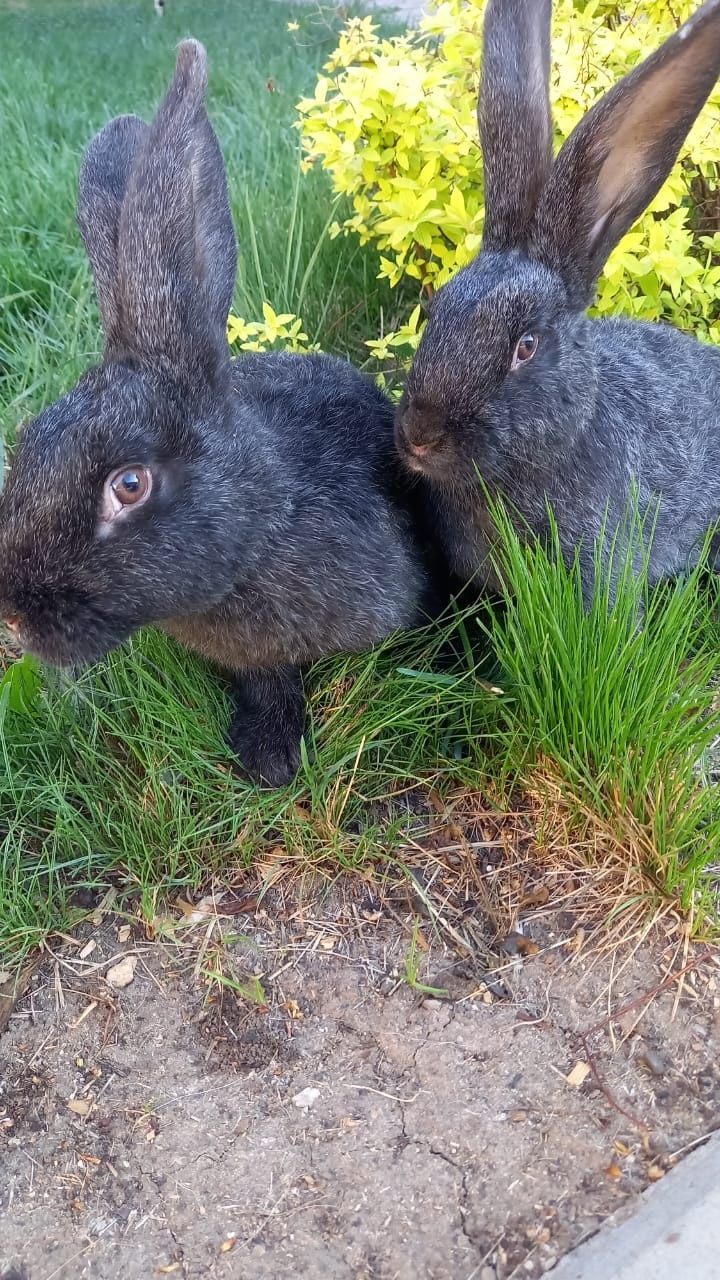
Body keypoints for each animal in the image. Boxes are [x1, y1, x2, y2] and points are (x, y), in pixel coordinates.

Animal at [0, 40, 438, 783]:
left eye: (129, 484)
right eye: (25, 443)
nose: (12, 618)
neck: (266, 524)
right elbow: (265, 679)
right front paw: (269, 754)